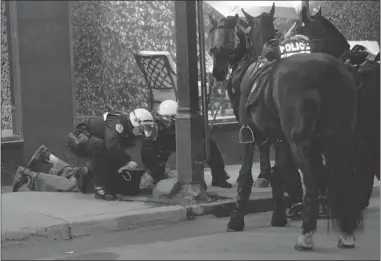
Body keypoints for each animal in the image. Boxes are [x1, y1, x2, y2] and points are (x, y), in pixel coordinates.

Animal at [208, 3, 362, 250]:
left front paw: (236, 218)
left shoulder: (249, 134)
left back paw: (307, 234)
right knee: (342, 175)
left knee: (311, 180)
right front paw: (278, 215)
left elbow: (246, 175)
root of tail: (324, 69)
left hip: (302, 143)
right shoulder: (279, 138)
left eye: (224, 40)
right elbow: (278, 172)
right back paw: (345, 231)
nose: (218, 72)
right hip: (339, 137)